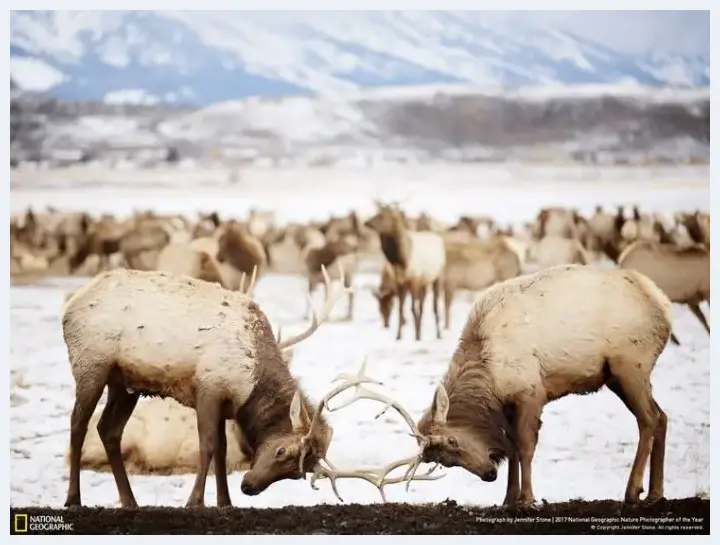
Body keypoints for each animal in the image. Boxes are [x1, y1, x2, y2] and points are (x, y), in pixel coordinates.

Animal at [63, 264, 438, 506]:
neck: (251, 384)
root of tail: (70, 304)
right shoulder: (209, 387)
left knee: (108, 429)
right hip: (91, 363)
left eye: (297, 474)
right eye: (282, 451)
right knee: (78, 424)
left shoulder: (226, 404)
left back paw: (130, 502)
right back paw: (74, 499)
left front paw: (225, 503)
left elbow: (221, 450)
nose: (250, 487)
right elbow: (208, 445)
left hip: (125, 382)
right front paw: (195, 502)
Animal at [360, 264, 676, 506]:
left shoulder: (531, 391)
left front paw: (526, 499)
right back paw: (656, 493)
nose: (488, 474)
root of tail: (662, 302)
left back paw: (633, 491)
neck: (489, 377)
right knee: (662, 416)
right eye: (446, 462)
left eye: (452, 441)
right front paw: (507, 499)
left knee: (648, 419)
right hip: (616, 376)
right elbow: (511, 446)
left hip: (630, 364)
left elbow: (524, 446)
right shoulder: (509, 403)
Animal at [366, 203, 444, 340]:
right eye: (379, 308)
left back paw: (438, 334)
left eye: (383, 215)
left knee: (434, 307)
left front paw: (416, 336)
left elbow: (412, 308)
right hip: (424, 282)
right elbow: (402, 309)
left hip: (436, 278)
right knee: (422, 306)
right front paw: (399, 335)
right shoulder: (402, 283)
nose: (386, 325)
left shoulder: (413, 281)